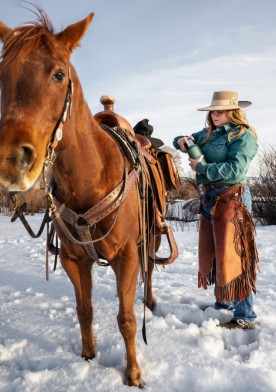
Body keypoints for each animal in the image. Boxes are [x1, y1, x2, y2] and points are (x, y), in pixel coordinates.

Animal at [0, 7, 177, 388]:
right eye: (2, 76)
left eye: (58, 74)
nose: (10, 161)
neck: (92, 175)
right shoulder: (73, 259)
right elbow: (85, 309)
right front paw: (87, 355)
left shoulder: (126, 257)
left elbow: (126, 319)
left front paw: (133, 374)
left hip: (152, 235)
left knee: (150, 270)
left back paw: (150, 302)